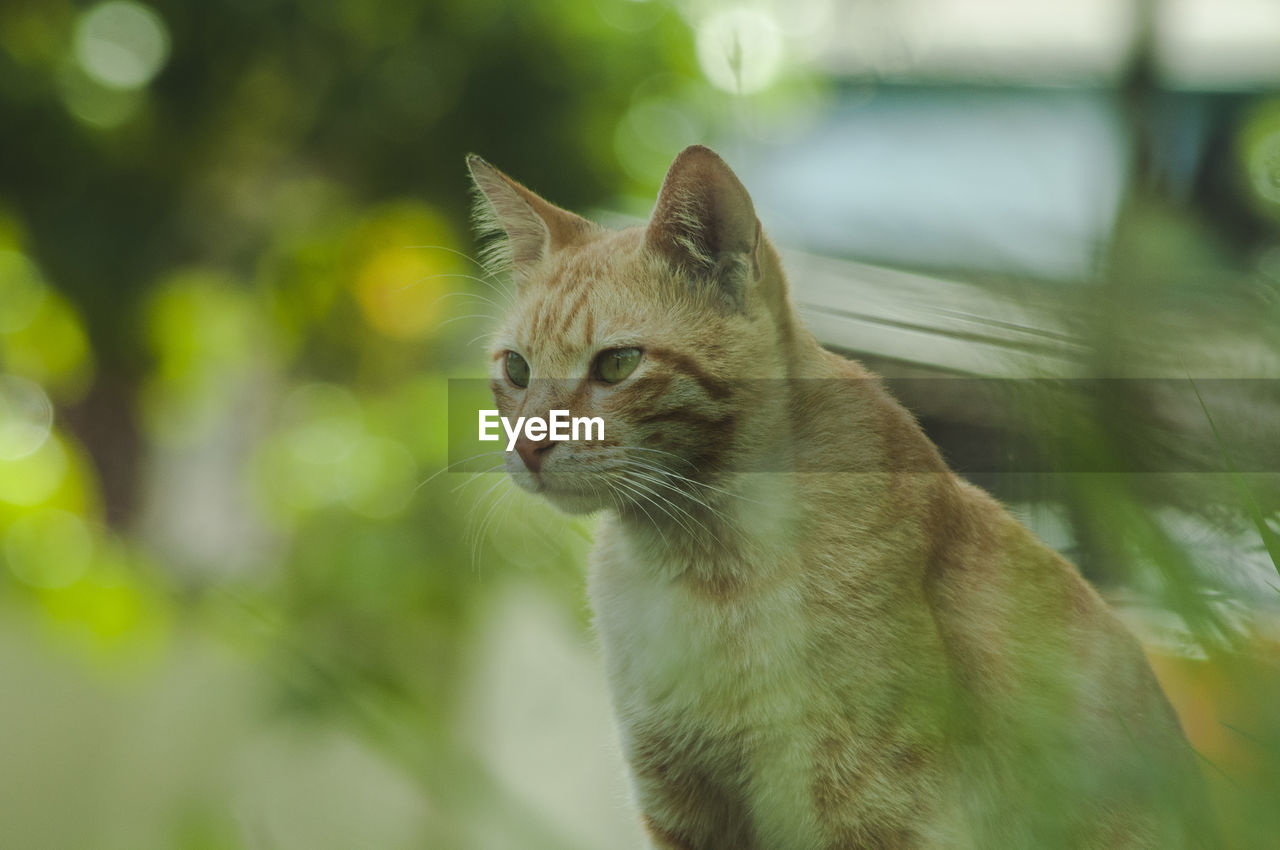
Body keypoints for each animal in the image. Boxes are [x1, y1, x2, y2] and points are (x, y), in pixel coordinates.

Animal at [468, 147, 1208, 850]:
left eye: (617, 365)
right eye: (517, 369)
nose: (529, 447)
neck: (697, 566)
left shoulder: (877, 811)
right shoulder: (683, 806)